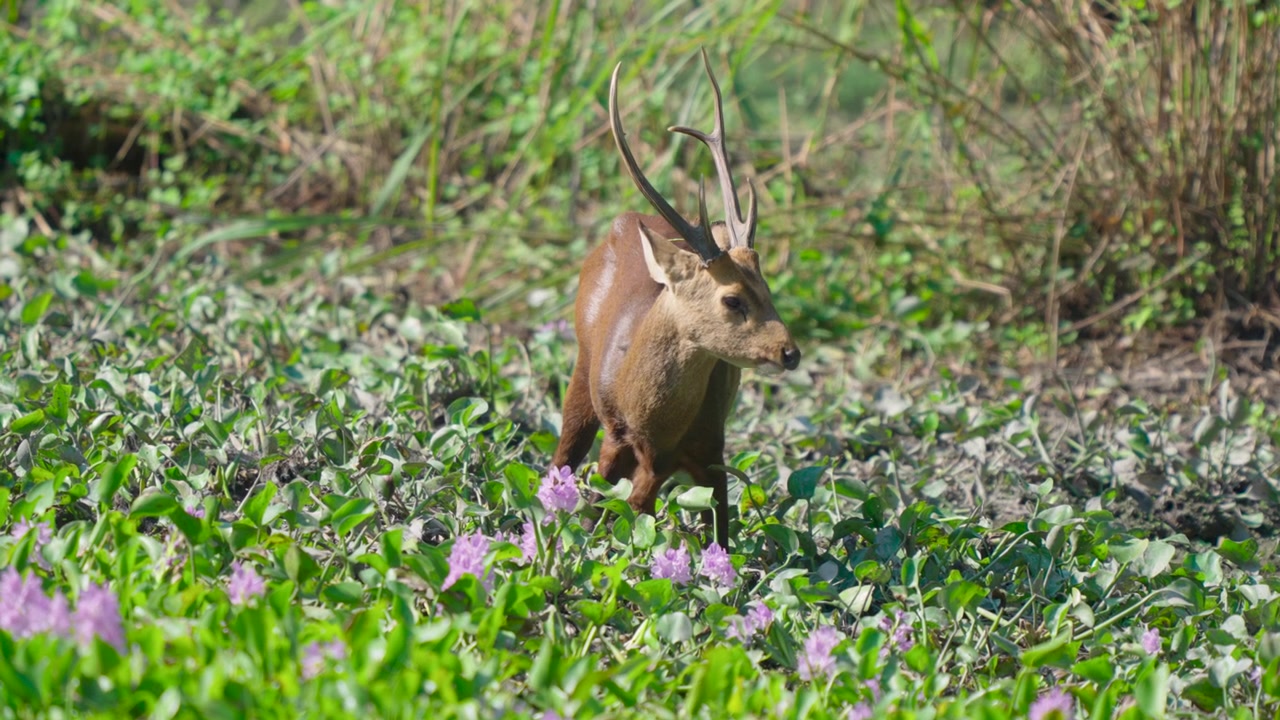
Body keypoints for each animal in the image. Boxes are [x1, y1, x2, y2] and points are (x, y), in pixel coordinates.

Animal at [551, 49, 800, 549]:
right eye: (732, 299)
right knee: (563, 458)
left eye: (767, 287)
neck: (654, 423)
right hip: (582, 369)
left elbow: (712, 531)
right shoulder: (621, 440)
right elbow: (609, 510)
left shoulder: (709, 451)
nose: (790, 352)